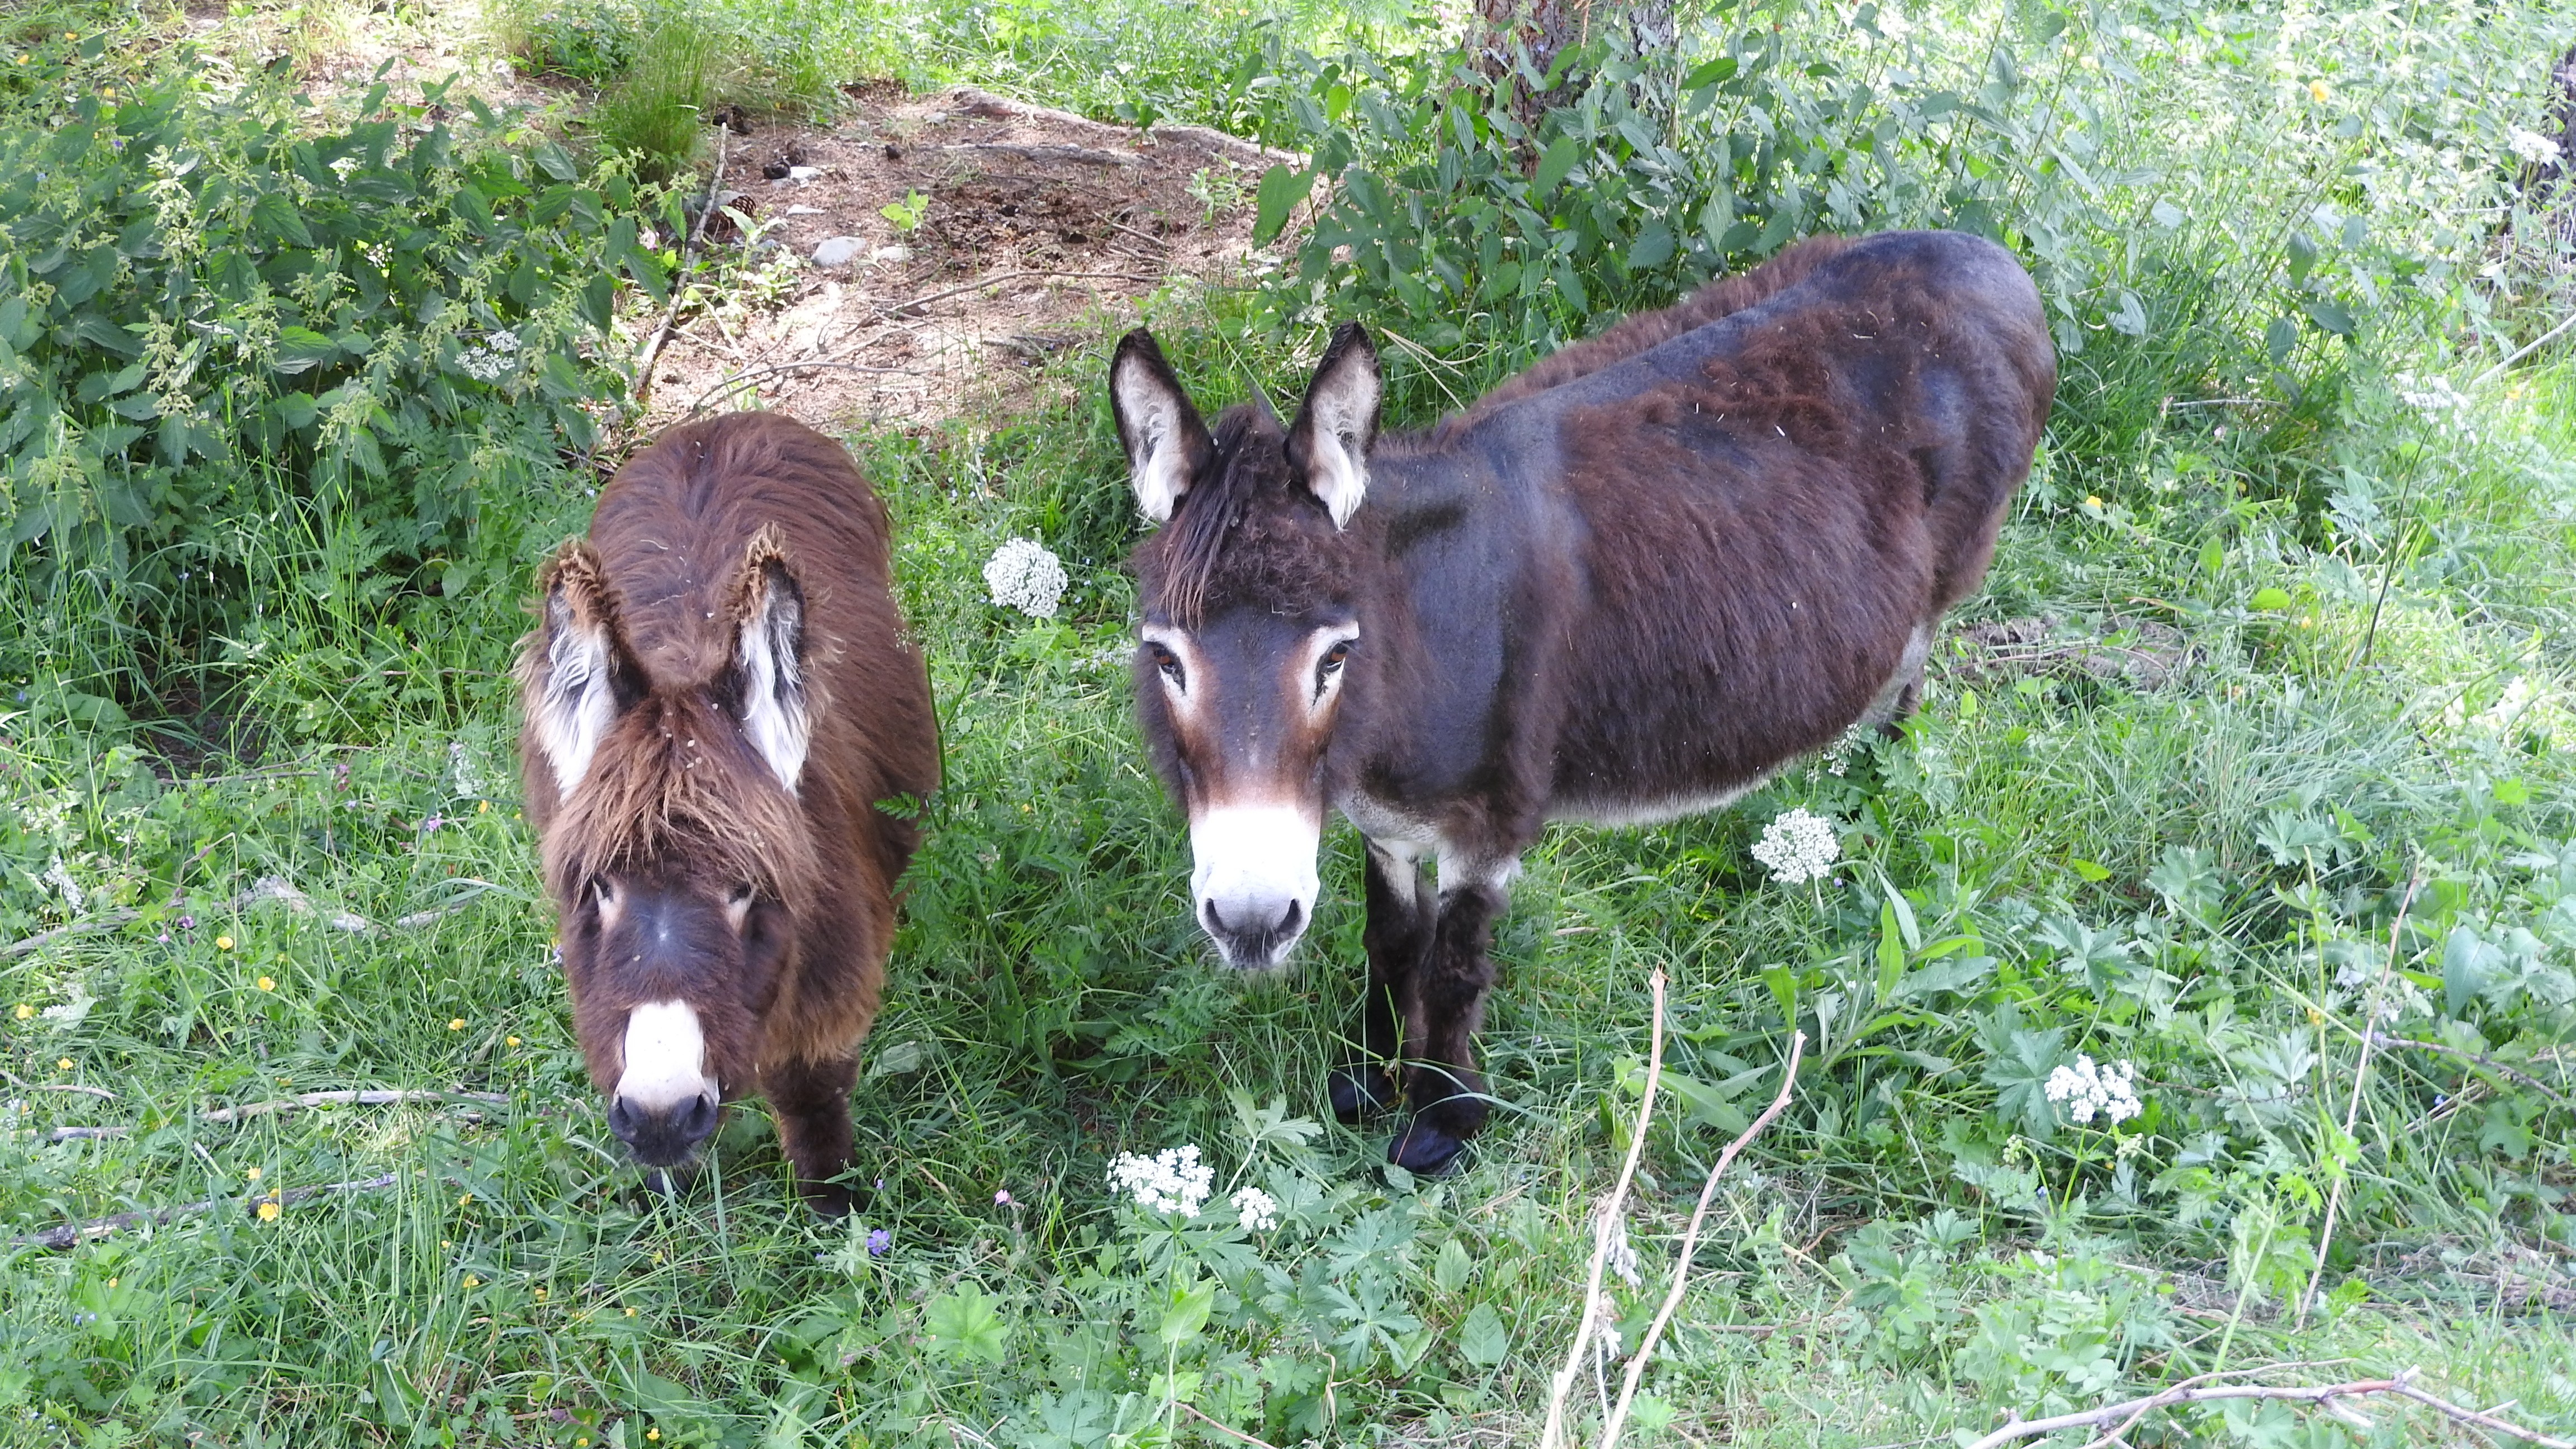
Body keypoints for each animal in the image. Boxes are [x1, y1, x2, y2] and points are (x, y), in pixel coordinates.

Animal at [516, 411, 941, 1213]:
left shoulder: (827, 988)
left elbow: (812, 1098)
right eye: (599, 887)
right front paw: (663, 1197)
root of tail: (723, 423)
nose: (660, 1115)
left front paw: (838, 1212)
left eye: (746, 890)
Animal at [1105, 229, 2054, 1175]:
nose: (1252, 923)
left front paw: (1441, 1119)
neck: (1416, 642)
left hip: (1945, 585)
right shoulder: (1385, 827)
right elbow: (1391, 944)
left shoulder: (1490, 825)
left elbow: (1454, 963)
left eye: (1334, 658)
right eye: (1166, 660)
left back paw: (1874, 796)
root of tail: (1979, 250)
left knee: (1909, 680)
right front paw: (1369, 1081)